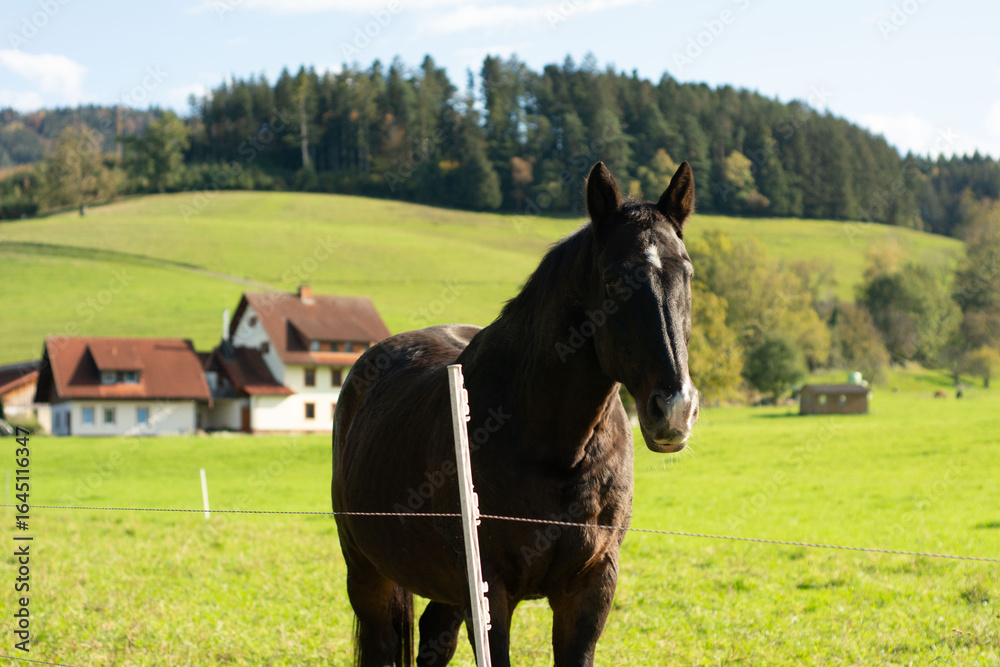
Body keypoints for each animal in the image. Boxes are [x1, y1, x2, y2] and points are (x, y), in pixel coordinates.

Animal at [332, 161, 700, 667]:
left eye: (688, 274)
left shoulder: (590, 588)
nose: (675, 408)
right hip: (367, 573)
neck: (557, 452)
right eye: (612, 281)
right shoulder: (490, 592)